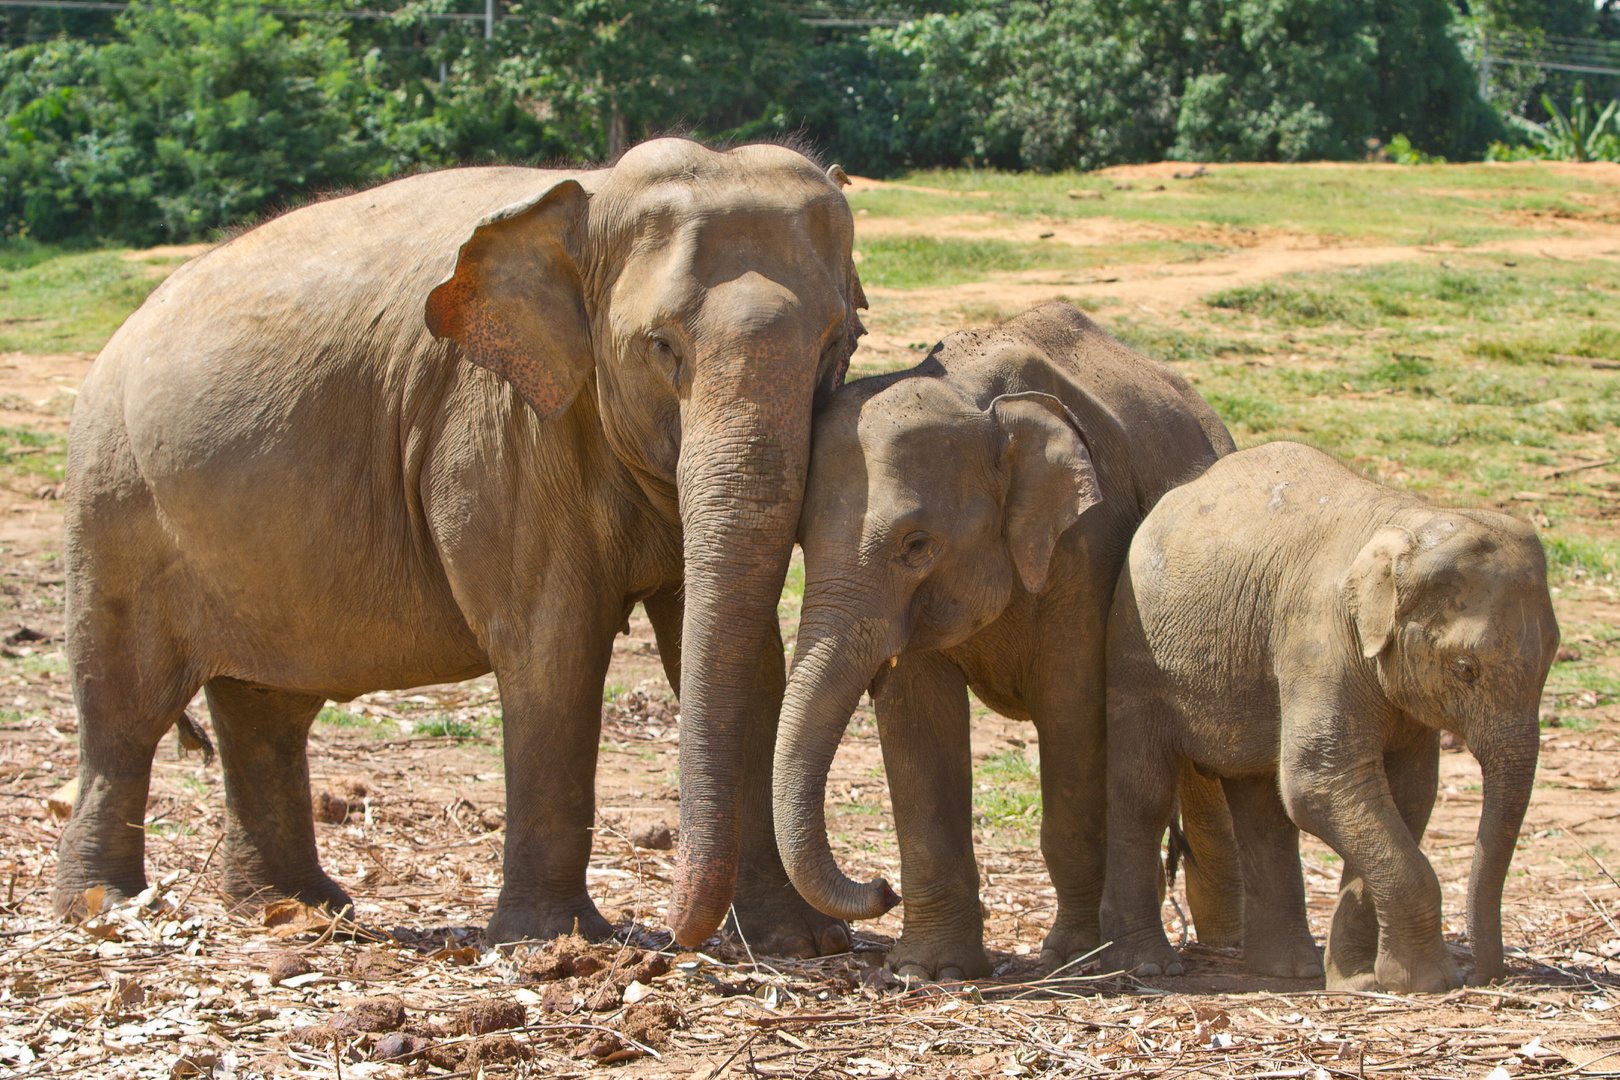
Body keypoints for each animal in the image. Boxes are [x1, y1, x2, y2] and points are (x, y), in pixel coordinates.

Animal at [50, 137, 861, 952]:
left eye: (842, 343)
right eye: (662, 346)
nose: (669, 934)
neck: (590, 203)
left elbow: (747, 660)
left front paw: (801, 943)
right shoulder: (496, 429)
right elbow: (552, 646)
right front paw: (553, 941)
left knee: (266, 710)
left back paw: (296, 908)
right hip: (114, 500)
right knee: (126, 711)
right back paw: (103, 906)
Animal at [764, 302, 1231, 977]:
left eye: (916, 545)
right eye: (800, 539)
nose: (882, 887)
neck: (976, 400)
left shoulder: (1086, 545)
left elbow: (1074, 712)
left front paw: (1076, 959)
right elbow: (918, 724)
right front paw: (929, 971)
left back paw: (1229, 950)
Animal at [1101, 440, 1555, 997]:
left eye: (1552, 660)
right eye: (1465, 669)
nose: (1483, 976)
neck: (1405, 521)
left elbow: (1409, 791)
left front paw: (1358, 979)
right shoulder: (1319, 636)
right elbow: (1321, 782)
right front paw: (1424, 982)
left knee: (1264, 812)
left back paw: (1291, 971)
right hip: (1135, 649)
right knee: (1144, 790)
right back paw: (1149, 966)